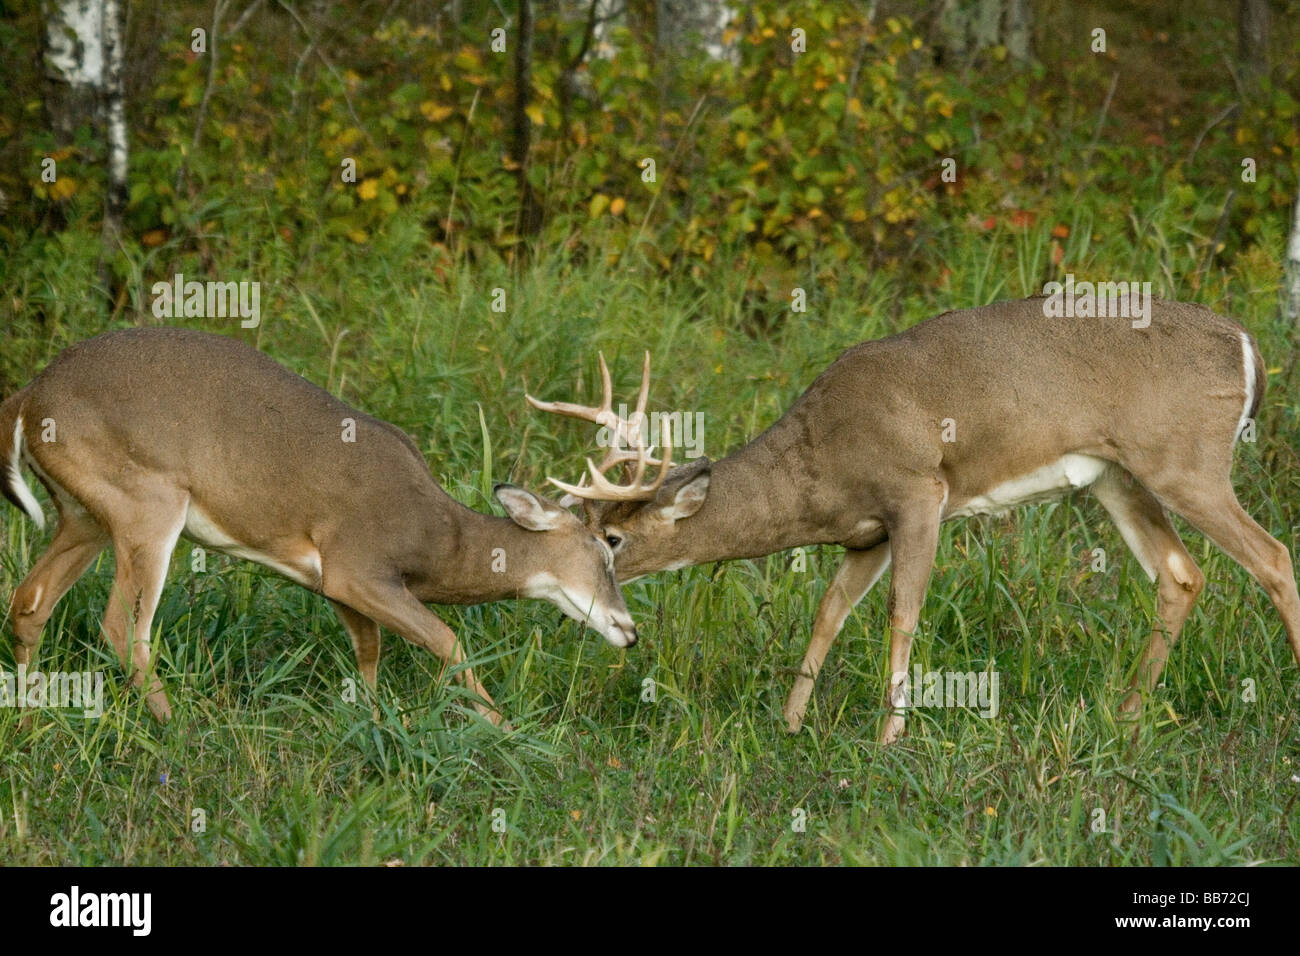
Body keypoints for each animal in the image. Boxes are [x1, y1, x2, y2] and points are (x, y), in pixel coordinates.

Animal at [2, 327, 637, 723]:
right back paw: (178, 726)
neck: (439, 540)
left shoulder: (332, 583)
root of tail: (30, 396)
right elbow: (447, 640)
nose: (629, 631)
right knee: (121, 627)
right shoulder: (357, 567)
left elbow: (370, 653)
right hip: (148, 504)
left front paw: (375, 720)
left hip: (83, 514)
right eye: (605, 550)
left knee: (30, 601)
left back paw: (31, 718)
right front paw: (500, 725)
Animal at [525, 295, 1300, 743]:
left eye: (613, 537)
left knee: (1273, 556)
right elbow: (830, 611)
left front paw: (890, 734)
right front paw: (792, 721)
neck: (823, 462)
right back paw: (1129, 713)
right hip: (1118, 473)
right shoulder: (865, 532)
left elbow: (903, 612)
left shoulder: (919, 492)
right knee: (1181, 572)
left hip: (1185, 460)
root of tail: (1246, 343)